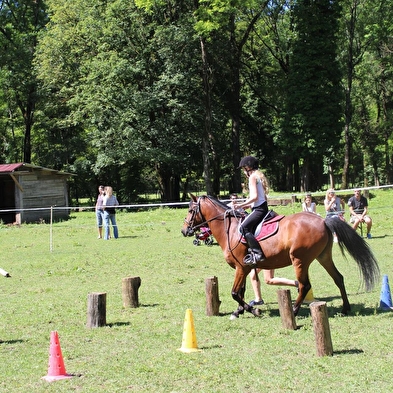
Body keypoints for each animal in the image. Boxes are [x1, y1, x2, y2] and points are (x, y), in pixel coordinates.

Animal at [181, 193, 380, 318]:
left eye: (190, 211)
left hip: (299, 260)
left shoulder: (241, 267)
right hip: (323, 257)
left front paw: (252, 311)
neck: (230, 229)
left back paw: (294, 310)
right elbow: (241, 291)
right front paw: (239, 311)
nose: (184, 230)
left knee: (305, 285)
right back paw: (345, 308)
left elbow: (235, 293)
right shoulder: (243, 269)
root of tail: (323, 221)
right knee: (338, 278)